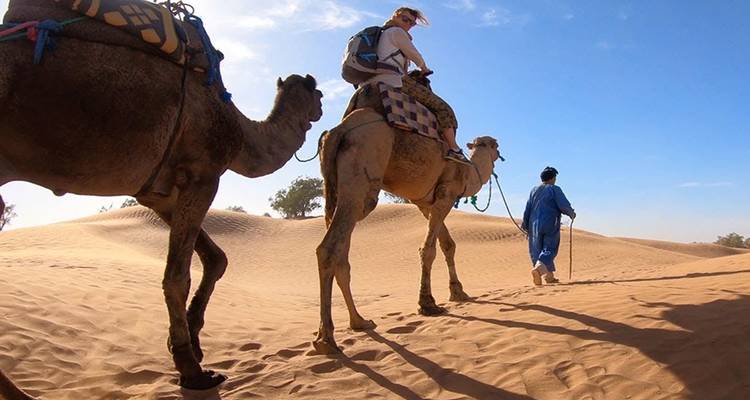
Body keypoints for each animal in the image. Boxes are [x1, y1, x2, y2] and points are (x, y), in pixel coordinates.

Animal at [0, 1, 323, 394]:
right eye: (318, 94)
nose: (322, 109)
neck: (241, 131)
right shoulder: (203, 174)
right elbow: (177, 275)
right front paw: (192, 369)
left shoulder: (156, 193)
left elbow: (216, 258)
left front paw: (191, 343)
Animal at [313, 82, 502, 353]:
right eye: (492, 144)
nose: (501, 152)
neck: (468, 172)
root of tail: (339, 130)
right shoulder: (446, 194)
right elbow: (429, 249)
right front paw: (428, 304)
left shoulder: (425, 202)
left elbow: (448, 245)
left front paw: (458, 293)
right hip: (363, 170)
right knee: (329, 248)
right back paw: (326, 339)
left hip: (335, 186)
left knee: (341, 252)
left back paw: (359, 321)